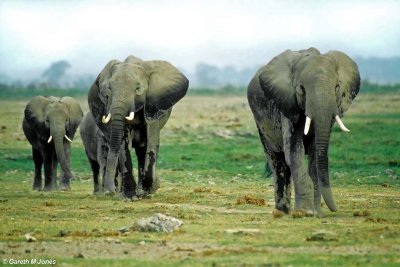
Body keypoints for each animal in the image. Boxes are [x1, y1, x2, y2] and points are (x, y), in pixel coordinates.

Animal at [88, 55, 188, 200]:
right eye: (109, 89)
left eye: (138, 89)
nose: (109, 192)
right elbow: (123, 144)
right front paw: (130, 197)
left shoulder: (152, 105)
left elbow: (151, 142)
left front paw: (150, 189)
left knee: (141, 150)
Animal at [248, 48, 360, 218]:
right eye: (301, 88)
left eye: (336, 87)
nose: (334, 210)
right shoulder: (288, 106)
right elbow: (294, 152)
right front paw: (305, 213)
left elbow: (315, 154)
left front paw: (317, 214)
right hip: (261, 124)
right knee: (277, 161)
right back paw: (282, 211)